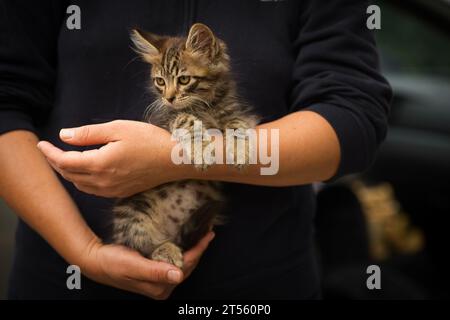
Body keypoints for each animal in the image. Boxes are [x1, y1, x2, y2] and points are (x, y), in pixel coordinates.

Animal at [112, 23, 258, 268]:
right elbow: (185, 120)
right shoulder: (164, 119)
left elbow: (238, 126)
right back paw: (166, 250)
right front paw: (201, 150)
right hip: (133, 208)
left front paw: (239, 150)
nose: (169, 98)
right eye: (160, 82)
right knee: (141, 245)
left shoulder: (238, 113)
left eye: (183, 80)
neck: (207, 104)